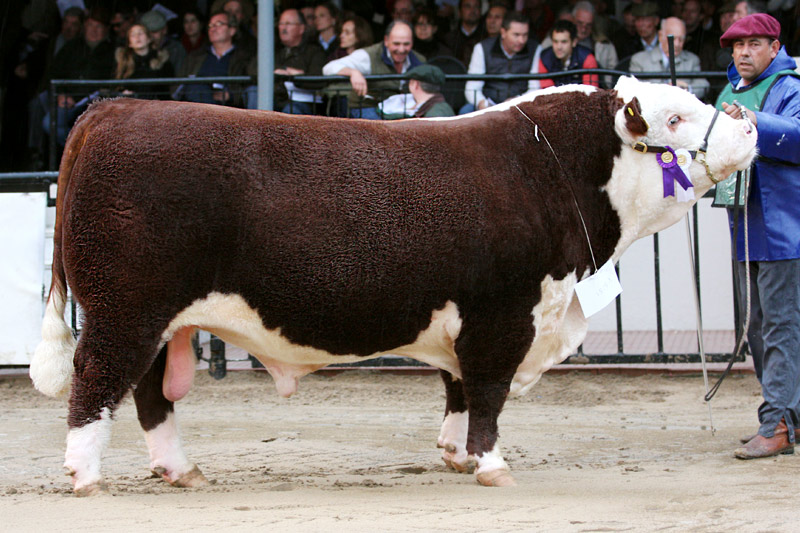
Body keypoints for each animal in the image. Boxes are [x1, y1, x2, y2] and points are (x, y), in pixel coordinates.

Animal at [31, 78, 756, 494]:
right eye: (675, 119)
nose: (748, 121)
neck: (552, 169)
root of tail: (113, 109)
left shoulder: (470, 316)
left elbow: (458, 388)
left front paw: (456, 456)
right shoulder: (504, 314)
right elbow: (488, 392)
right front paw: (491, 465)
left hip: (161, 320)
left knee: (152, 394)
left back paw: (181, 470)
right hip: (126, 309)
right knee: (96, 380)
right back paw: (85, 476)